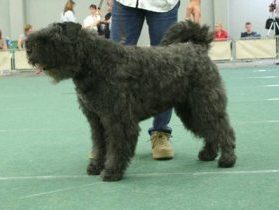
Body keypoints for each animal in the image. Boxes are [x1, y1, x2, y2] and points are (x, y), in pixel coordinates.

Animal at [25, 21, 236, 182]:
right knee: (209, 130)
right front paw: (95, 166)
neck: (96, 62)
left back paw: (227, 159)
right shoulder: (96, 119)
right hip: (191, 110)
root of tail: (198, 48)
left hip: (204, 104)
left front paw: (111, 171)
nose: (27, 46)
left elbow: (117, 146)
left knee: (222, 129)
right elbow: (100, 145)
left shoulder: (118, 119)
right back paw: (208, 154)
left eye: (52, 37)